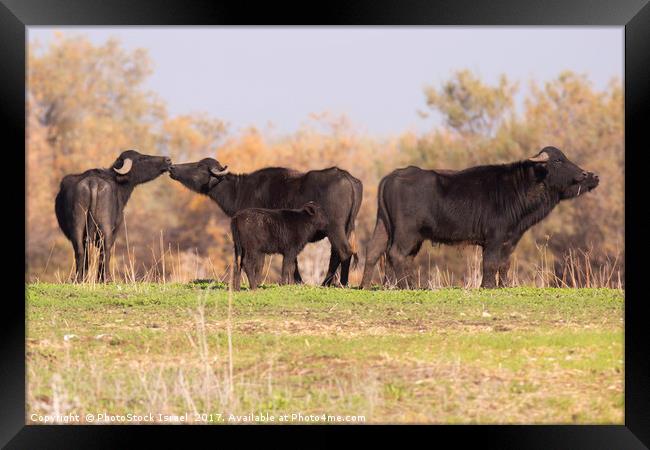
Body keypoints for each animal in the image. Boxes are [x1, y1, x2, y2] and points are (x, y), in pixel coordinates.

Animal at [55, 151, 171, 282]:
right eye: (142, 158)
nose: (168, 160)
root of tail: (93, 182)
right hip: (105, 227)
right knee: (106, 249)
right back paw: (106, 279)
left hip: (78, 226)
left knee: (80, 250)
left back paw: (79, 279)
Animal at [167, 158, 362, 284]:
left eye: (199, 166)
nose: (172, 167)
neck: (239, 190)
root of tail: (348, 178)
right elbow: (293, 261)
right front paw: (297, 282)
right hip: (345, 228)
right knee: (338, 253)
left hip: (334, 228)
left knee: (344, 251)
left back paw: (339, 283)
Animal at [360, 147, 596, 288]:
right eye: (557, 161)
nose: (588, 174)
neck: (517, 188)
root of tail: (393, 175)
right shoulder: (493, 238)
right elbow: (490, 263)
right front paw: (487, 286)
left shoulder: (510, 239)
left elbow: (504, 264)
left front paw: (504, 286)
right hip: (406, 233)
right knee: (396, 254)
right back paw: (404, 286)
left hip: (384, 226)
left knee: (375, 252)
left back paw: (370, 285)